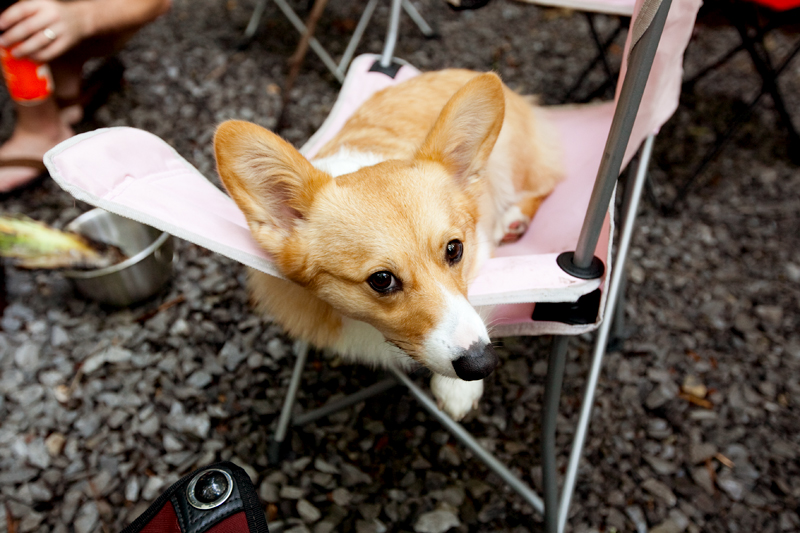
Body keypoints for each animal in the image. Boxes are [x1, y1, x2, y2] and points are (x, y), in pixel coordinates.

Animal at [216, 69, 560, 420]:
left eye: (454, 249)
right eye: (381, 280)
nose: (482, 364)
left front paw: (458, 391)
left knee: (547, 181)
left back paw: (515, 218)